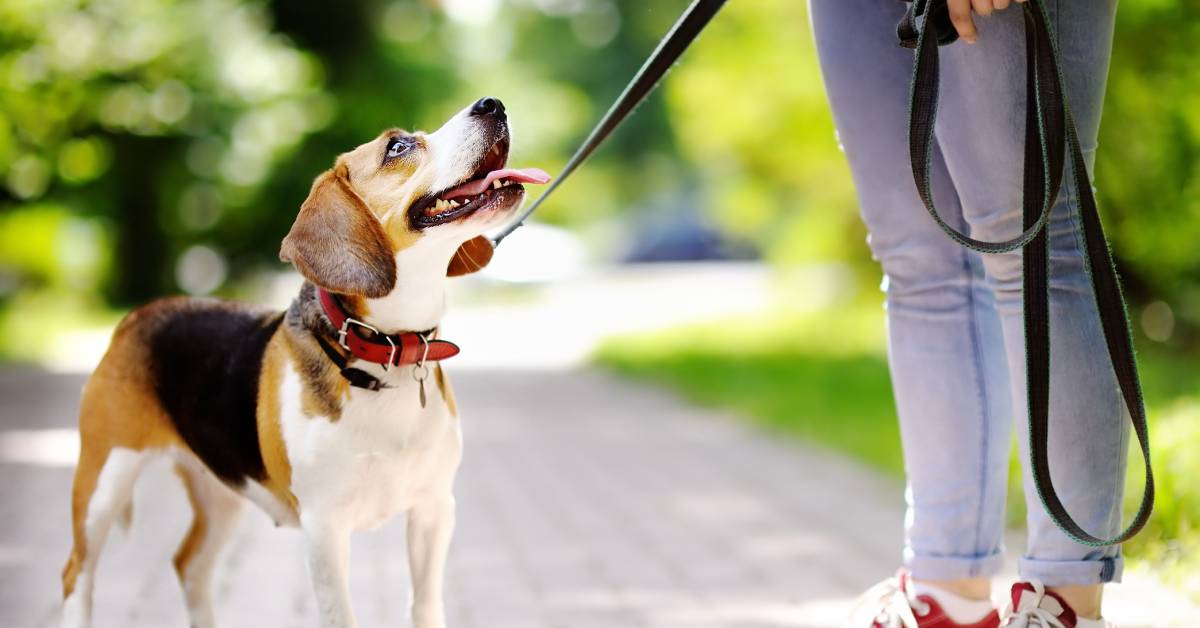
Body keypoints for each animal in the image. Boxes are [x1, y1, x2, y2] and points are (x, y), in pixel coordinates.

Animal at [62, 98, 552, 628]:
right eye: (398, 147)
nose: (492, 104)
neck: (386, 353)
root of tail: (138, 315)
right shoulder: (325, 529)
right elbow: (341, 616)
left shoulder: (434, 510)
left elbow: (425, 607)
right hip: (103, 482)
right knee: (77, 574)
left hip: (222, 489)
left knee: (189, 565)